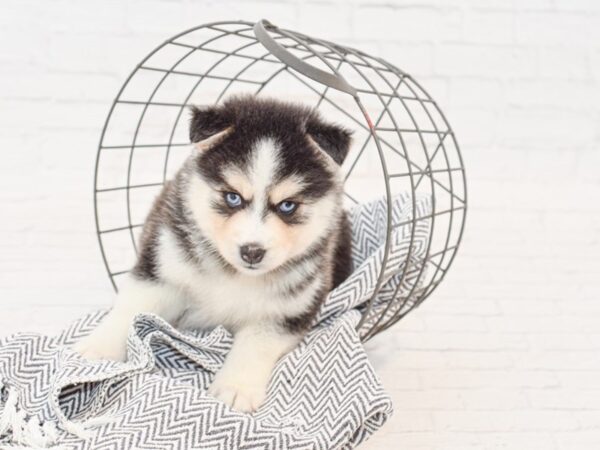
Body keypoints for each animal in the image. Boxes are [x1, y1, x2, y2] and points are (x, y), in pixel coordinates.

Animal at [77, 96, 354, 414]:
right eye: (232, 197)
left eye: (287, 205)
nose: (252, 251)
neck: (234, 274)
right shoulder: (160, 267)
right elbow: (130, 309)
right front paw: (99, 348)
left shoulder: (289, 308)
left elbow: (256, 344)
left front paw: (236, 388)